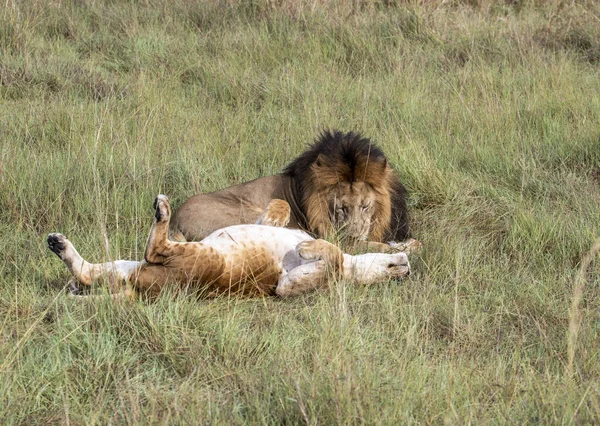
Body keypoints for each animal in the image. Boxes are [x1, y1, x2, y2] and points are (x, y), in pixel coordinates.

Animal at [49, 195, 410, 298]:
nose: (406, 268)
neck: (352, 268)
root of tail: (143, 290)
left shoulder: (286, 287)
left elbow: (327, 256)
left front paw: (307, 246)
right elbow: (278, 209)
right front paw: (276, 215)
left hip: (202, 257)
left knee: (156, 249)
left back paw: (163, 209)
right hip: (125, 268)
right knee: (86, 274)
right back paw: (58, 244)